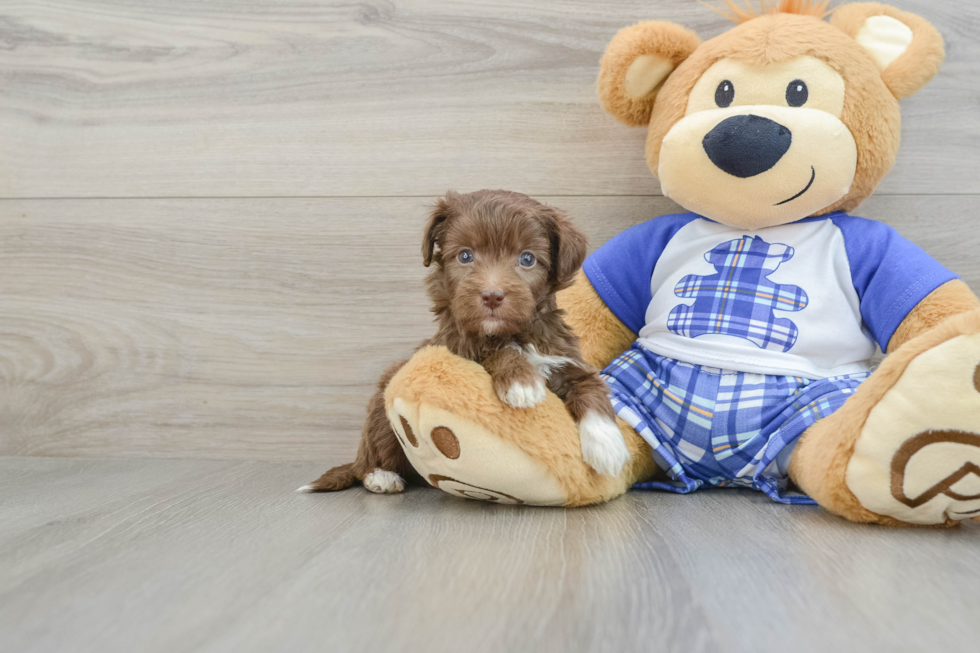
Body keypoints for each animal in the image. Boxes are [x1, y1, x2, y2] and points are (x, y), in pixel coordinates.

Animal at [298, 188, 632, 494]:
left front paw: (608, 447)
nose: (492, 295)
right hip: (382, 405)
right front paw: (521, 382)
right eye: (465, 256)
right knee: (370, 452)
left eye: (527, 259)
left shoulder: (564, 356)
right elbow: (496, 352)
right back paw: (380, 476)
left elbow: (591, 386)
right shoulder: (457, 348)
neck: (512, 332)